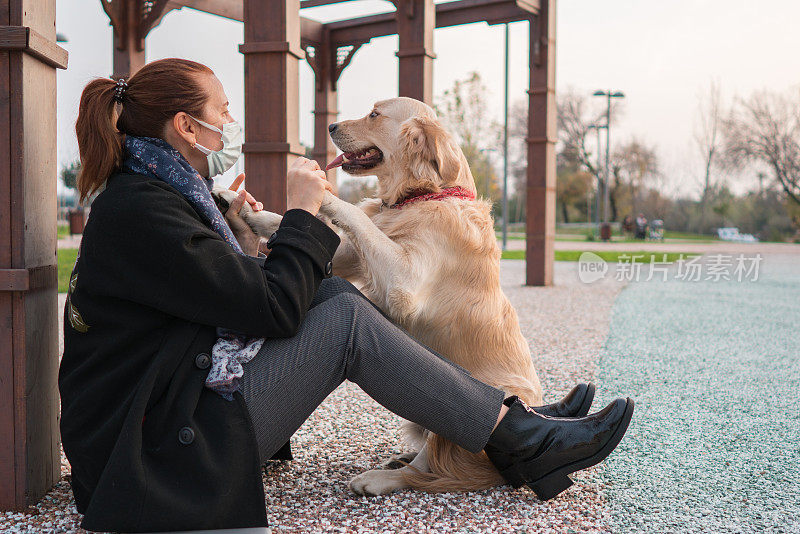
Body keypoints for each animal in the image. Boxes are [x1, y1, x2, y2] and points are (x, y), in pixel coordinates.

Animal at [212, 96, 544, 498]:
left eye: (374, 114)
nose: (330, 126)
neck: (422, 196)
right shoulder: (344, 256)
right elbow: (287, 221)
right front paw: (236, 201)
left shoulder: (405, 282)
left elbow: (354, 214)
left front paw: (321, 191)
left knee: (430, 462)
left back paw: (380, 478)